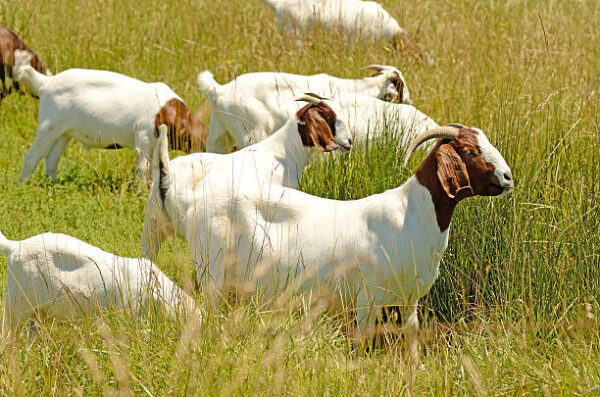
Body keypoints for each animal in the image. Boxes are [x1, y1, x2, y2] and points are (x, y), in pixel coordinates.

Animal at [12, 48, 207, 183]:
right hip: (48, 126)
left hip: (63, 133)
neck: (167, 110)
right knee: (32, 156)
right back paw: (21, 187)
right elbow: (143, 169)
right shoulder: (142, 138)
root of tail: (46, 83)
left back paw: (52, 185)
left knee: (52, 159)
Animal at [148, 123, 512, 362]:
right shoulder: (367, 296)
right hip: (212, 274)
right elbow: (362, 341)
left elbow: (410, 335)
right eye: (469, 151)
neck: (410, 215)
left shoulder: (410, 298)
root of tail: (194, 203)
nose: (508, 177)